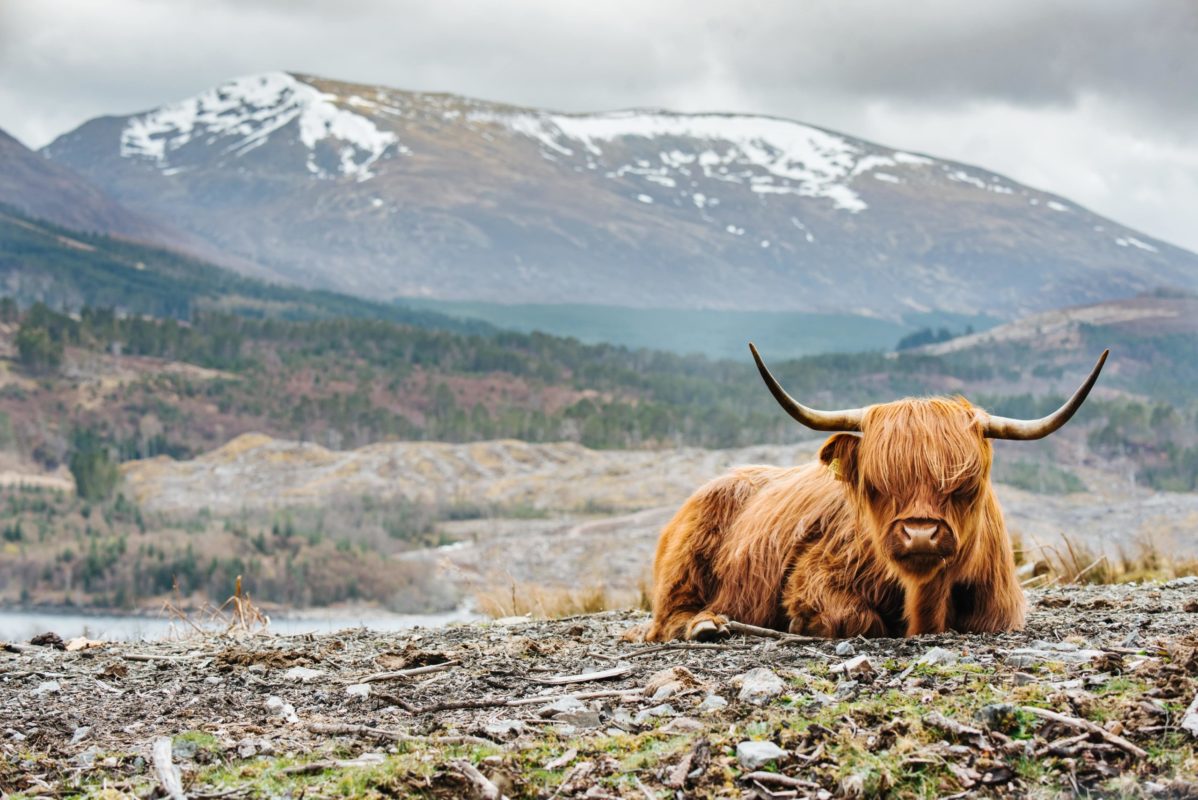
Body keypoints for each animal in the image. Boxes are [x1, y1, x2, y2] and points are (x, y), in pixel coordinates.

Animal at [642, 347, 1106, 641]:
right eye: (877, 484)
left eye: (966, 484)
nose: (920, 535)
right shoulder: (814, 576)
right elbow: (858, 619)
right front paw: (804, 626)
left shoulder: (1000, 610)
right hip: (686, 562)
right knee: (666, 618)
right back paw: (706, 625)